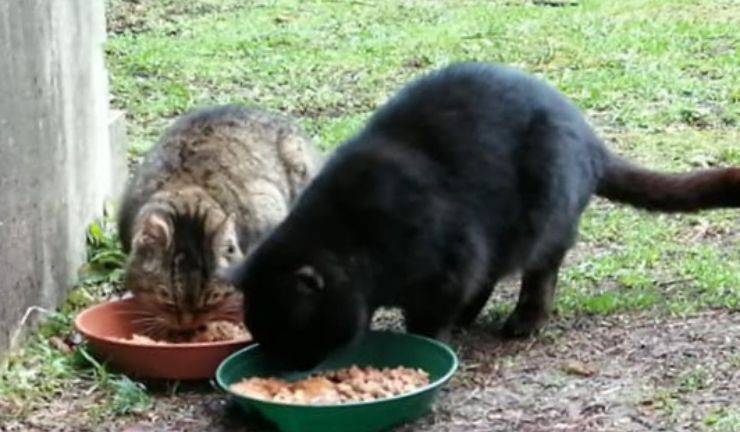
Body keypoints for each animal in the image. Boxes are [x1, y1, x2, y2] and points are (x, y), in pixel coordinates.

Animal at [227, 62, 740, 370]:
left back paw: (522, 321)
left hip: (541, 214)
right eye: (264, 335)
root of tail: (590, 139)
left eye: (292, 333)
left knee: (541, 271)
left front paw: (429, 344)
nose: (285, 365)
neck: (356, 239)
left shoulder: (449, 263)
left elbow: (429, 319)